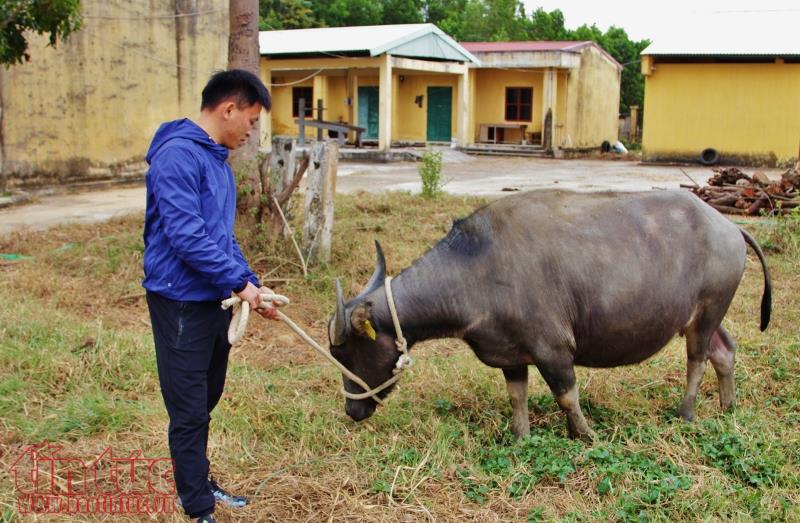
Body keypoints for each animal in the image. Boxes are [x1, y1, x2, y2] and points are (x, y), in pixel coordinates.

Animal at [328, 190, 772, 440]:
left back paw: (687, 412)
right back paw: (727, 406)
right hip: (705, 316)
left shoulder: (553, 349)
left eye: (347, 353)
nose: (351, 411)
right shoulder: (512, 355)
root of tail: (728, 226)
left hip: (707, 312)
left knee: (698, 360)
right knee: (724, 351)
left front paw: (584, 434)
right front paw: (520, 435)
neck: (477, 267)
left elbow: (566, 395)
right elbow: (517, 397)